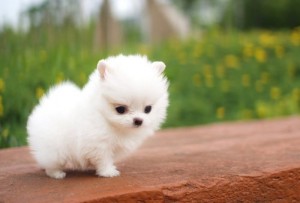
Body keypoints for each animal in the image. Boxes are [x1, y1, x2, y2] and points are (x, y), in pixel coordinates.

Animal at [27, 54, 169, 179]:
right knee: (52, 163)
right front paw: (108, 172)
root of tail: (43, 106)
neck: (103, 117)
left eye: (148, 109)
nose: (138, 120)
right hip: (55, 149)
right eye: (120, 109)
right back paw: (57, 174)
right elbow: (103, 159)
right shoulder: (98, 144)